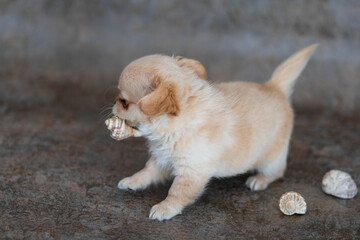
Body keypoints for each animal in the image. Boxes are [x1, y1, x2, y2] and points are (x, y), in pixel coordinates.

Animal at [112, 44, 318, 220]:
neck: (170, 127)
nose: (113, 106)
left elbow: (176, 192)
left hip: (272, 157)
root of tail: (274, 87)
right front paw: (132, 181)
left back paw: (259, 180)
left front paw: (165, 208)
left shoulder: (191, 171)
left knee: (277, 171)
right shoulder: (161, 158)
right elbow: (146, 172)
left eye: (124, 102)